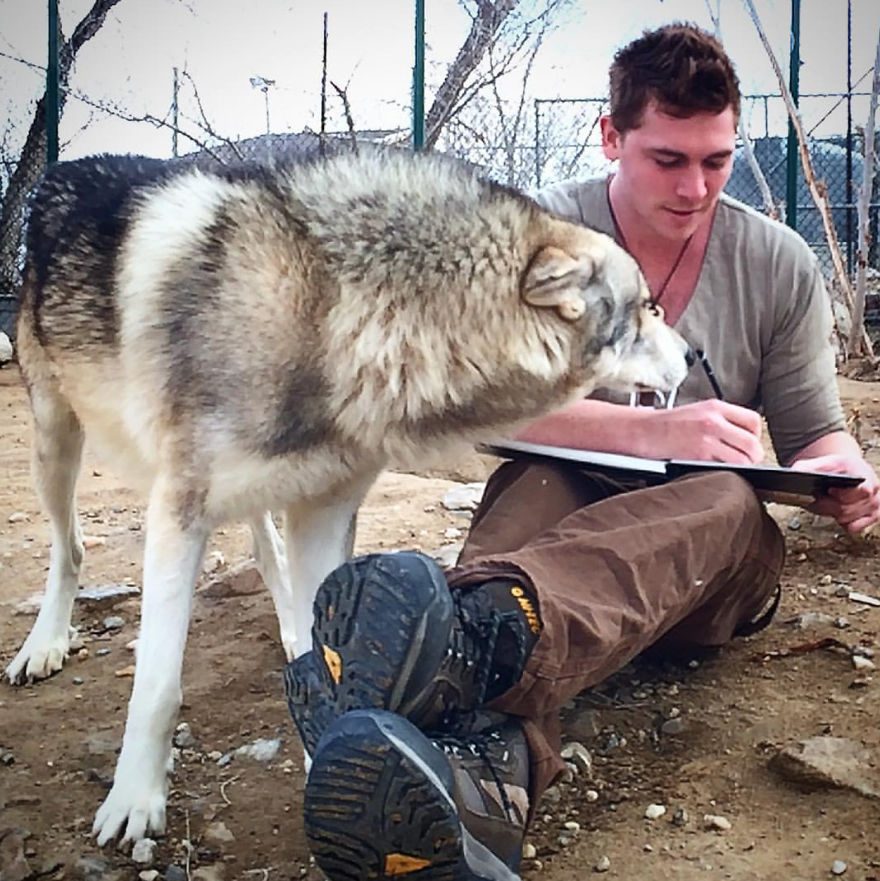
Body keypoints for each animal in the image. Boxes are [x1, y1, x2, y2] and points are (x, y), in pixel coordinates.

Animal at [5, 147, 690, 845]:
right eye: (648, 308)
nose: (692, 354)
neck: (333, 309)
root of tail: (64, 168)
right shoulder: (179, 515)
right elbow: (157, 686)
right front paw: (135, 799)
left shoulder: (324, 512)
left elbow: (324, 648)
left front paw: (339, 759)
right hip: (56, 447)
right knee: (70, 550)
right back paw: (45, 644)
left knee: (262, 545)